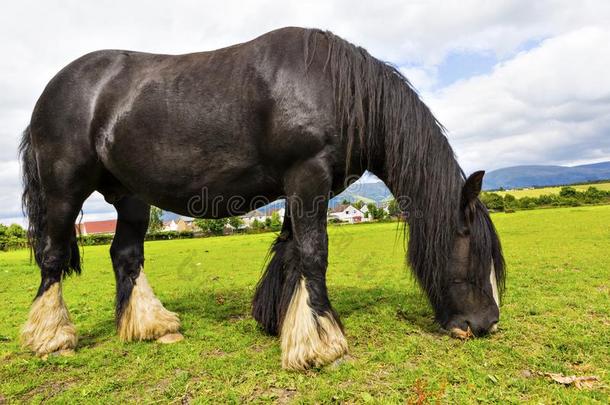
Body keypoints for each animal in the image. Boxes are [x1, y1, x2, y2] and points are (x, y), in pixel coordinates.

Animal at [20, 26, 504, 370]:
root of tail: (53, 88)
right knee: (52, 255)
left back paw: (151, 326)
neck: (334, 87)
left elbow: (290, 252)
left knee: (125, 254)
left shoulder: (304, 186)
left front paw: (284, 324)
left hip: (132, 197)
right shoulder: (307, 175)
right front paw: (324, 343)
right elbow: (313, 253)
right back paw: (53, 339)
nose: (485, 324)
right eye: (475, 255)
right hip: (64, 190)